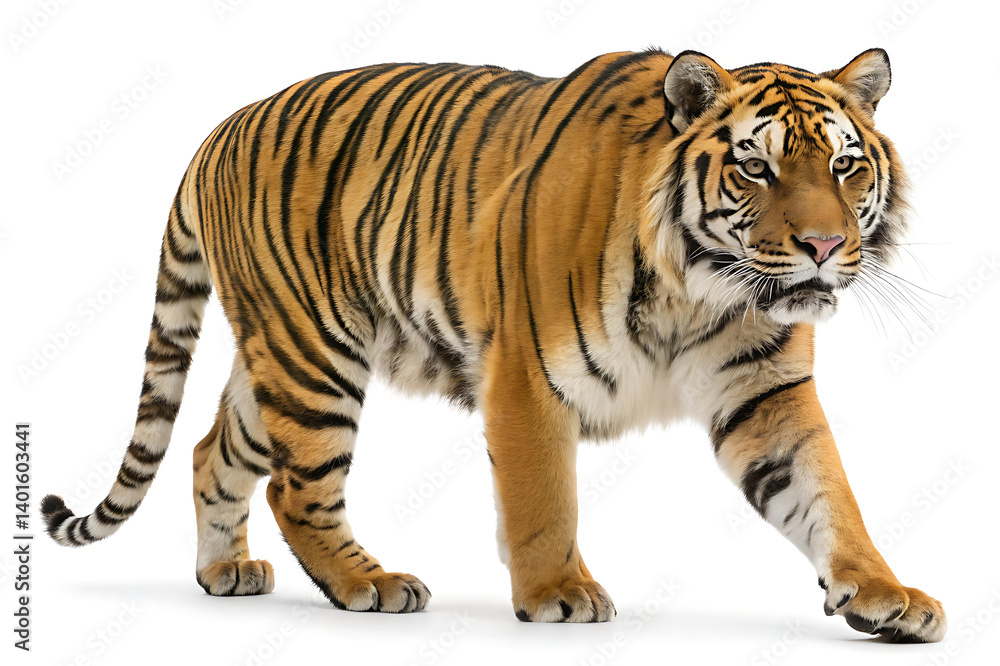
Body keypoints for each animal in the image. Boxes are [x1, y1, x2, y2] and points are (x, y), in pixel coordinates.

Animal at [41, 47, 946, 642]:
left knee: (210, 451)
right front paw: (558, 593)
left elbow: (828, 493)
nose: (825, 246)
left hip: (276, 359)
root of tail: (216, 132)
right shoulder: (527, 377)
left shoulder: (765, 393)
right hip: (314, 356)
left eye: (845, 166)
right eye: (757, 168)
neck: (702, 290)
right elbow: (543, 500)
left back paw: (225, 573)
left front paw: (887, 593)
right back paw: (370, 582)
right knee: (296, 490)